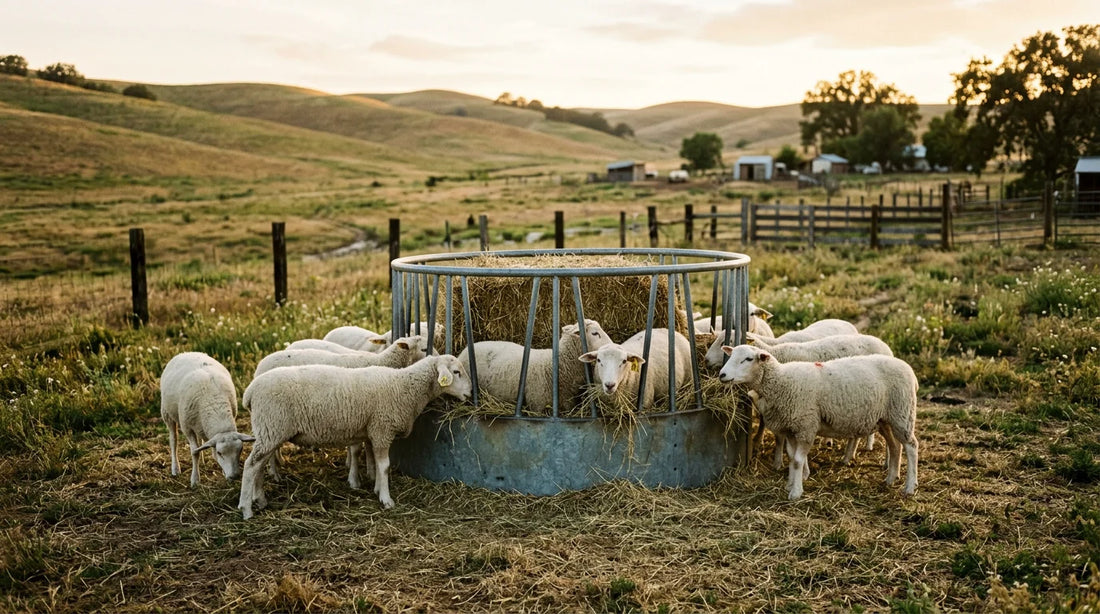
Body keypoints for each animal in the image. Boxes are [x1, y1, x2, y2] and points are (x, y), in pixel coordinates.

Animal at [159, 352, 254, 487]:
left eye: (240, 450)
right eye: (220, 453)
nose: (234, 476)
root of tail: (186, 353)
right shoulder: (187, 428)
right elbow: (194, 452)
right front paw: (195, 480)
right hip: (167, 413)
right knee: (173, 440)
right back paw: (175, 468)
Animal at [237, 355, 472, 518]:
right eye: (456, 372)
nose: (470, 393)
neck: (405, 386)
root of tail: (250, 391)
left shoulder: (372, 431)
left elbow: (374, 462)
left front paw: (376, 488)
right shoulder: (382, 429)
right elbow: (384, 465)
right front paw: (386, 499)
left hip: (269, 431)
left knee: (258, 466)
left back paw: (260, 499)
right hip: (272, 427)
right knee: (250, 466)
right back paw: (246, 509)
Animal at [718, 344, 919, 500]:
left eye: (748, 359)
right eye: (731, 355)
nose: (722, 374)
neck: (781, 382)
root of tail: (907, 368)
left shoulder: (806, 426)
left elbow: (798, 460)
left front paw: (796, 492)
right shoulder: (792, 428)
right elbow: (791, 457)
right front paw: (790, 484)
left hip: (902, 413)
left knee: (911, 446)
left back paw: (909, 487)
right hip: (886, 419)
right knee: (895, 446)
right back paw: (891, 479)